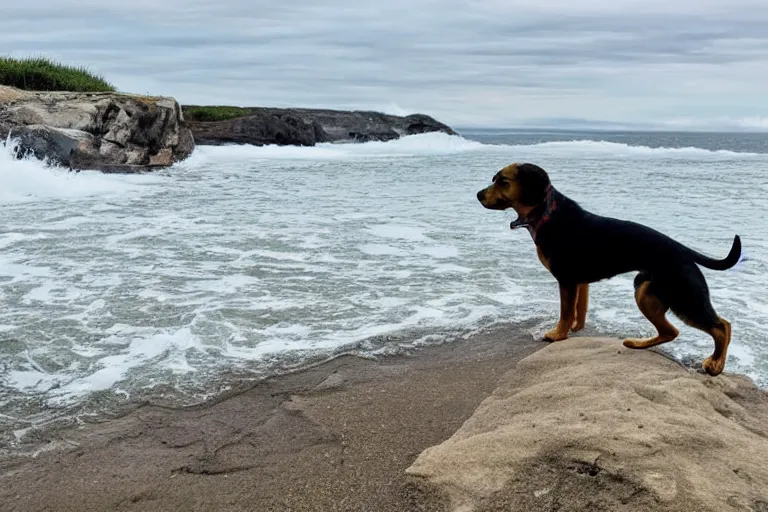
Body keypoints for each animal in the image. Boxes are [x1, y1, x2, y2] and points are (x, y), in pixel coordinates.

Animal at [476, 164, 740, 376]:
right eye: (494, 178)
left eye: (503, 181)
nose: (478, 195)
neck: (547, 213)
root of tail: (685, 251)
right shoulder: (579, 282)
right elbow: (578, 309)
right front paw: (576, 329)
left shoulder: (566, 279)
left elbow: (565, 311)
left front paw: (558, 335)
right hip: (646, 290)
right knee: (672, 331)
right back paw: (637, 344)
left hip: (682, 296)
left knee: (722, 326)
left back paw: (716, 364)